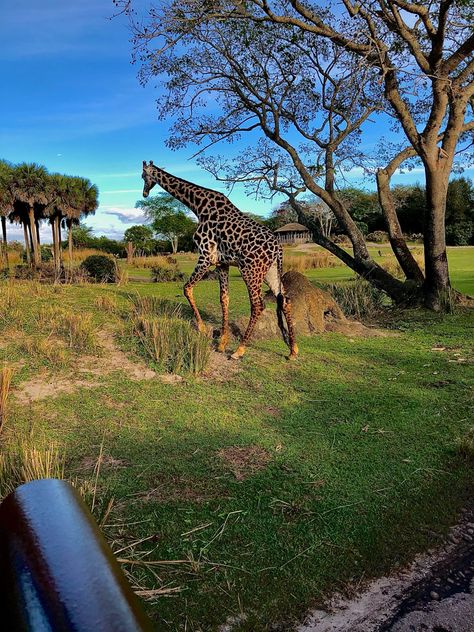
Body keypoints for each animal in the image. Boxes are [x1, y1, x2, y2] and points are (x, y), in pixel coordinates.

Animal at [141, 162, 298, 360]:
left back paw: (240, 350)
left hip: (250, 270)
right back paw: (293, 350)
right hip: (270, 271)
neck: (199, 207)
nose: (144, 193)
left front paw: (202, 328)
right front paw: (222, 344)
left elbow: (187, 288)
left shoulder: (205, 256)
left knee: (258, 304)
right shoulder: (222, 263)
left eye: (143, 176)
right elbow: (224, 299)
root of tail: (278, 247)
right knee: (285, 300)